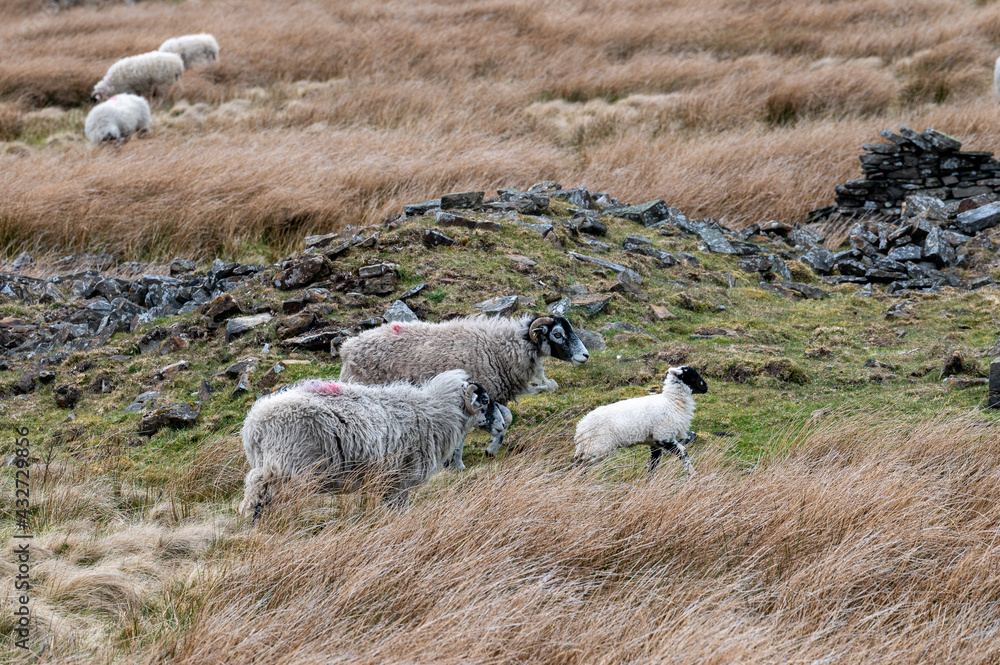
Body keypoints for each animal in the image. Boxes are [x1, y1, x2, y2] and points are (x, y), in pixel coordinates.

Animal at [238, 369, 511, 522]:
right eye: (484, 400)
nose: (501, 425)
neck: (435, 411)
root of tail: (254, 425)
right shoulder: (399, 479)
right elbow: (400, 510)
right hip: (290, 467)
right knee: (262, 493)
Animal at [338, 315, 590, 469]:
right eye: (557, 334)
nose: (585, 355)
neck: (506, 347)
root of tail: (348, 347)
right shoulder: (473, 397)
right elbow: (465, 434)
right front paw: (458, 463)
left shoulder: (491, 397)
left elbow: (506, 418)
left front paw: (491, 449)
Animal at [574, 366, 708, 475]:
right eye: (693, 376)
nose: (706, 387)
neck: (672, 403)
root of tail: (581, 427)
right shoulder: (663, 436)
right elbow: (683, 452)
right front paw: (692, 473)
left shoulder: (654, 443)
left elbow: (654, 465)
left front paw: (649, 482)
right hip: (597, 447)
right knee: (581, 465)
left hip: (589, 447)